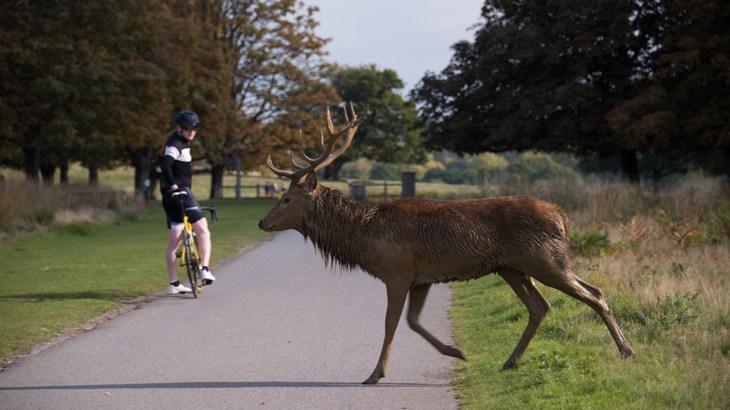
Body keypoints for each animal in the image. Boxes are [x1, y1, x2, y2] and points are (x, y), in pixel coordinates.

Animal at [258, 103, 636, 385]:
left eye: (288, 198)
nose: (263, 222)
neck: (364, 239)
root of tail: (563, 217)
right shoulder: (421, 278)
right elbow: (413, 322)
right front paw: (457, 353)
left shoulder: (397, 272)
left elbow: (391, 322)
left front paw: (375, 373)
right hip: (515, 267)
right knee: (541, 306)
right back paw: (510, 362)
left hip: (544, 260)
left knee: (594, 294)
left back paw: (626, 351)